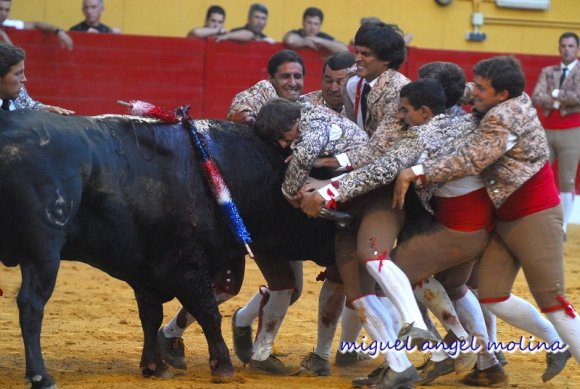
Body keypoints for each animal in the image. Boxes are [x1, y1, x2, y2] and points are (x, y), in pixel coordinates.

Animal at [0, 110, 336, 388]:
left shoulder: (147, 271)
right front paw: (222, 366)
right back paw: (41, 376)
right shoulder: (188, 265)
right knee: (31, 306)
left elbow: (151, 316)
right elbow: (208, 312)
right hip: (43, 255)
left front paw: (155, 367)